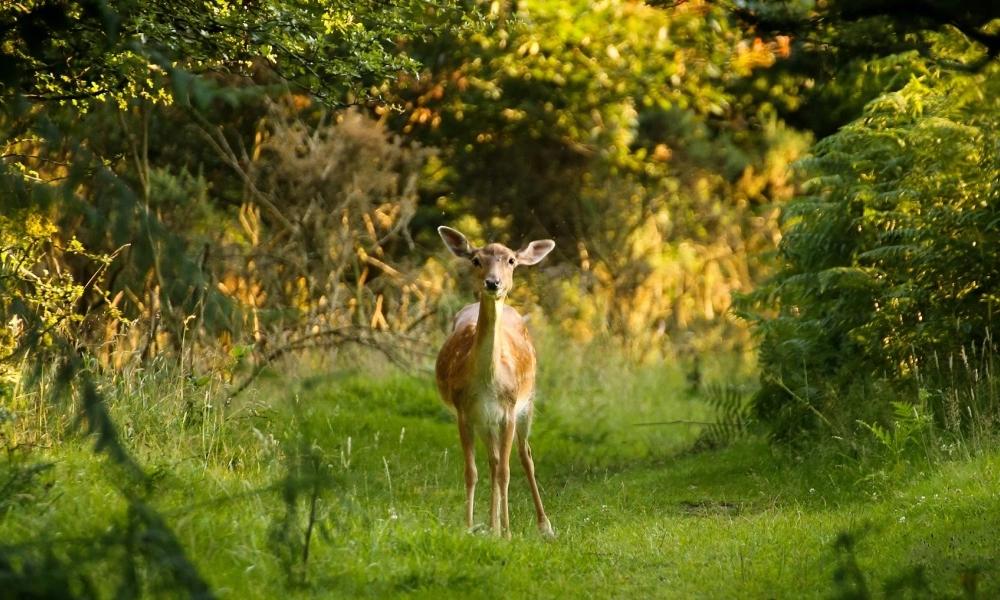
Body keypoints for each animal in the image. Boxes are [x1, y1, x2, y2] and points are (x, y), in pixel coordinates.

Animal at [436, 225, 556, 540]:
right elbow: (472, 471)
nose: (493, 282)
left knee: (524, 456)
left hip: (528, 403)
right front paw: (471, 527)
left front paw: (508, 533)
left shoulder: (509, 410)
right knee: (492, 461)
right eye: (476, 259)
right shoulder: (465, 411)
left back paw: (544, 526)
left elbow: (506, 472)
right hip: (485, 422)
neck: (488, 382)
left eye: (511, 260)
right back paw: (492, 526)